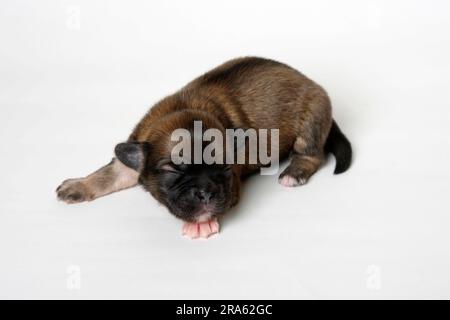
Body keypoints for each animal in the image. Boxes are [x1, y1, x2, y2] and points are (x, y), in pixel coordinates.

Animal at [56, 57, 352, 238]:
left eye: (225, 167)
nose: (207, 193)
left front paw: (203, 222)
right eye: (172, 170)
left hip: (311, 119)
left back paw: (294, 172)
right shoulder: (132, 155)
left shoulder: (233, 186)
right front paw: (77, 185)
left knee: (312, 154)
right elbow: (109, 173)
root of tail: (310, 81)